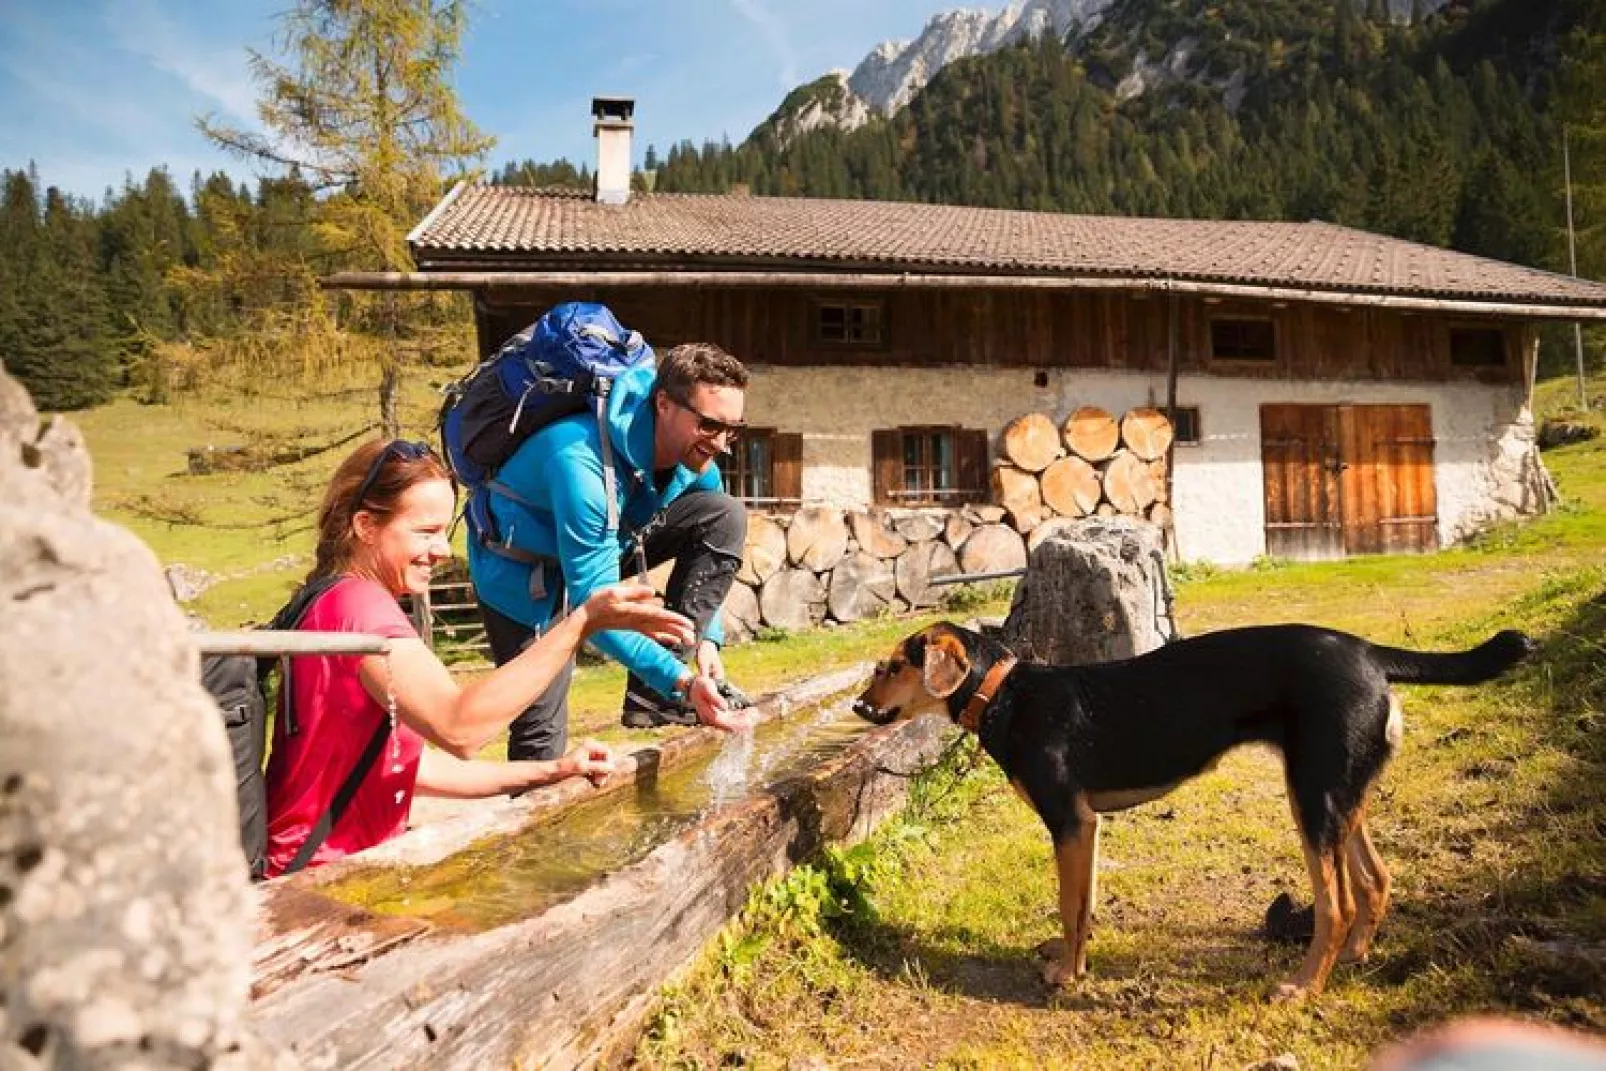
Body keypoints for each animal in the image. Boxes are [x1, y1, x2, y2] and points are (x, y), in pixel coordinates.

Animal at [854, 623, 1528, 1001]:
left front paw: (1067, 977)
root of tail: (1367, 651)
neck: (1007, 693)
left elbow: (1071, 909)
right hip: (1337, 793)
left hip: (1313, 800)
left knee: (1334, 906)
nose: (859, 707)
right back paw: (1354, 958)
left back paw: (1304, 986)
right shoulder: (1088, 827)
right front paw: (1071, 961)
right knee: (1376, 880)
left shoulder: (1070, 822)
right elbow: (1084, 906)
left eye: (893, 666)